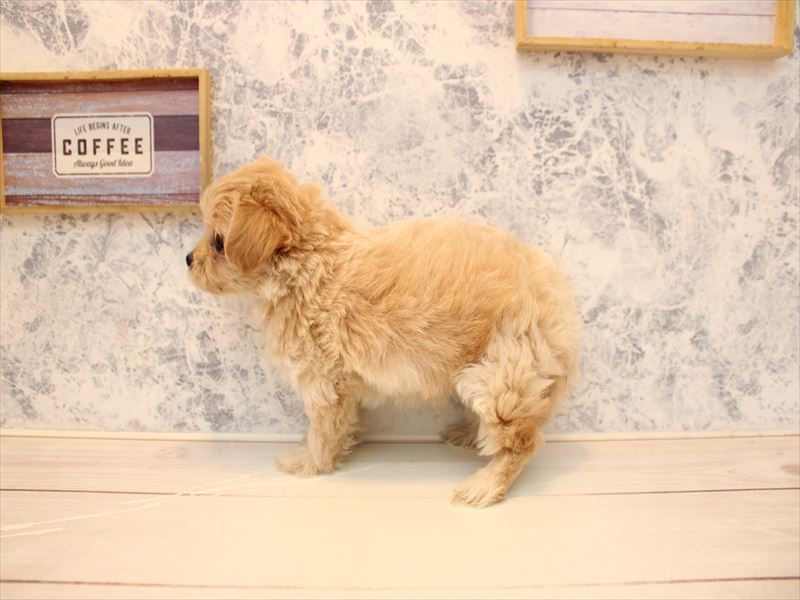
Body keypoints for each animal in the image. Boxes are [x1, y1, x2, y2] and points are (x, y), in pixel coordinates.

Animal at [187, 157, 581, 507]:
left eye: (218, 243)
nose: (188, 260)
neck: (307, 264)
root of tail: (555, 293)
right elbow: (339, 424)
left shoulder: (321, 380)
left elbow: (323, 429)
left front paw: (308, 462)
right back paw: (468, 434)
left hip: (503, 372)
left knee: (522, 441)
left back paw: (484, 485)